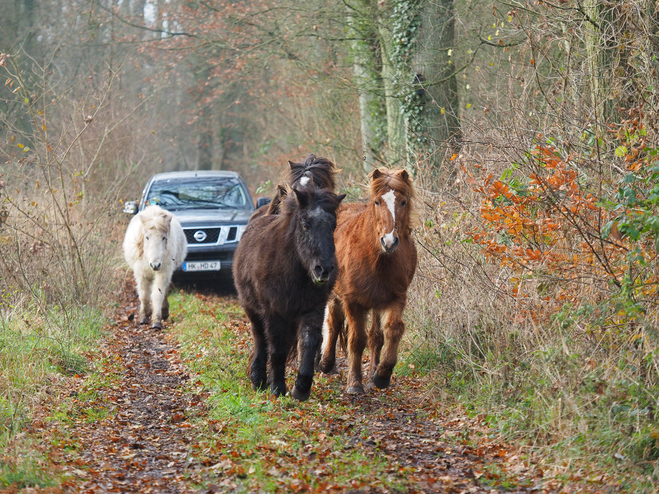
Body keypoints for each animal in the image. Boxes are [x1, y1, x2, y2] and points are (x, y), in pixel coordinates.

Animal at [232, 181, 346, 402]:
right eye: (305, 225)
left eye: (333, 226)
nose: (324, 269)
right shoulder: (273, 313)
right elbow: (277, 349)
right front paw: (277, 387)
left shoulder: (313, 310)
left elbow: (309, 343)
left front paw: (301, 388)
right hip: (253, 310)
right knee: (260, 339)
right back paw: (259, 379)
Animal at [320, 169, 418, 394]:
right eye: (377, 202)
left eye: (403, 202)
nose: (389, 242)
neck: (377, 259)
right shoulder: (353, 302)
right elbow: (356, 340)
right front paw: (354, 383)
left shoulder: (396, 298)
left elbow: (393, 330)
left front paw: (382, 375)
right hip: (335, 294)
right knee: (334, 323)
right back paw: (326, 363)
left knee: (375, 336)